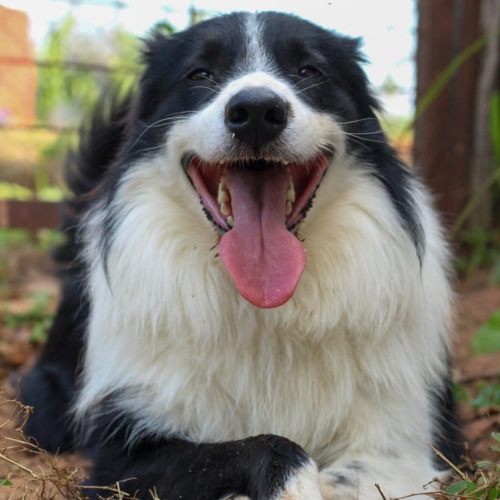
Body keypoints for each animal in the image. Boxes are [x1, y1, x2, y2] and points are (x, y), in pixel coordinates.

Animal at [20, 10, 464, 500]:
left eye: (309, 71)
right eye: (200, 74)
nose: (255, 112)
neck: (264, 310)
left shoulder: (405, 439)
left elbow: (350, 473)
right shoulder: (124, 455)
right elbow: (263, 447)